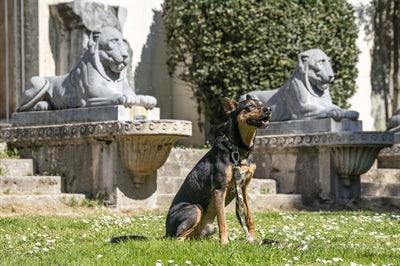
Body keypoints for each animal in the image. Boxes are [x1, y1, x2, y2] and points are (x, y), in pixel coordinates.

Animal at [109, 95, 272, 245]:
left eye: (262, 104)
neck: (238, 149)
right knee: (178, 239)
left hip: (206, 227)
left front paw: (254, 240)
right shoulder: (219, 189)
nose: (268, 109)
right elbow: (223, 220)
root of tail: (166, 232)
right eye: (250, 106)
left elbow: (249, 217)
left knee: (190, 238)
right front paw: (225, 243)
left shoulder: (243, 188)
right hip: (195, 209)